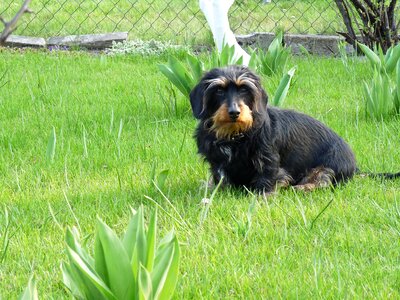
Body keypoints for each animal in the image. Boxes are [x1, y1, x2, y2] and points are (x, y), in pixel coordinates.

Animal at [190, 64, 400, 193]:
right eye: (219, 90)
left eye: (244, 89)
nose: (234, 112)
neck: (235, 134)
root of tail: (355, 167)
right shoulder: (217, 163)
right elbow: (220, 178)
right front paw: (210, 189)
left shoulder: (268, 160)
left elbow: (267, 179)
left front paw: (261, 196)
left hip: (328, 166)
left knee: (323, 181)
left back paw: (301, 188)